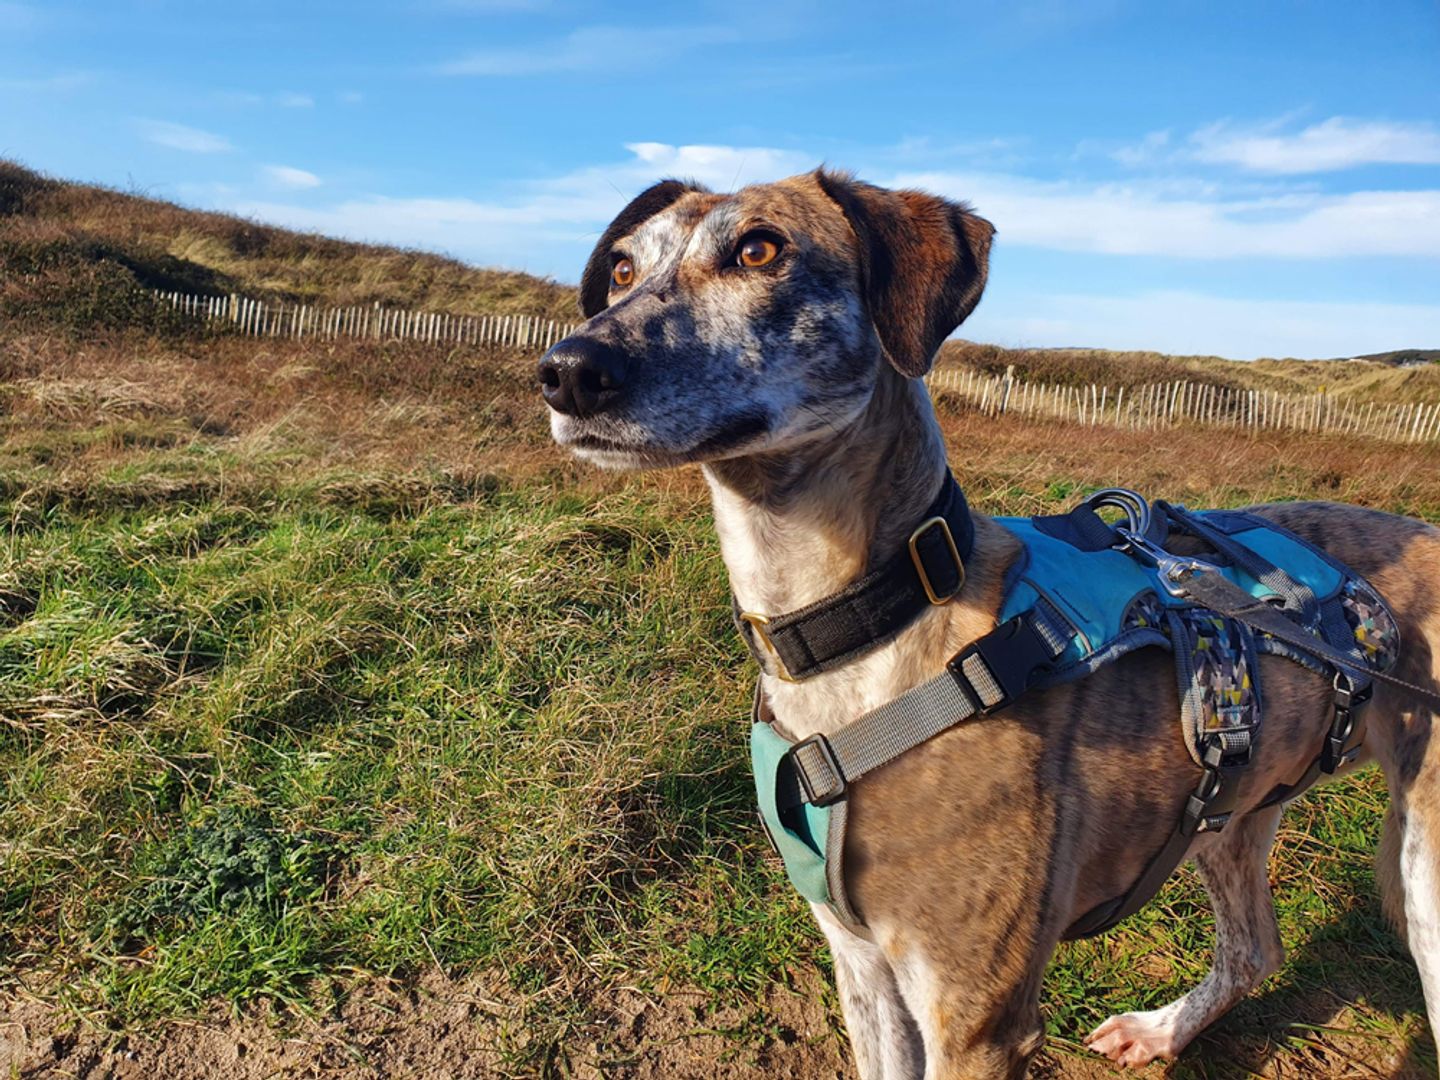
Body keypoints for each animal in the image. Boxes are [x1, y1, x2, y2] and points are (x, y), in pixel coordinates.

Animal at [538, 171, 1440, 1080]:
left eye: (759, 249)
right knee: (1256, 947)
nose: (568, 372)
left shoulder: (975, 1019)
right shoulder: (864, 970)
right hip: (1237, 806)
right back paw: (1162, 1031)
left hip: (1424, 879)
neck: (859, 630)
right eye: (622, 269)